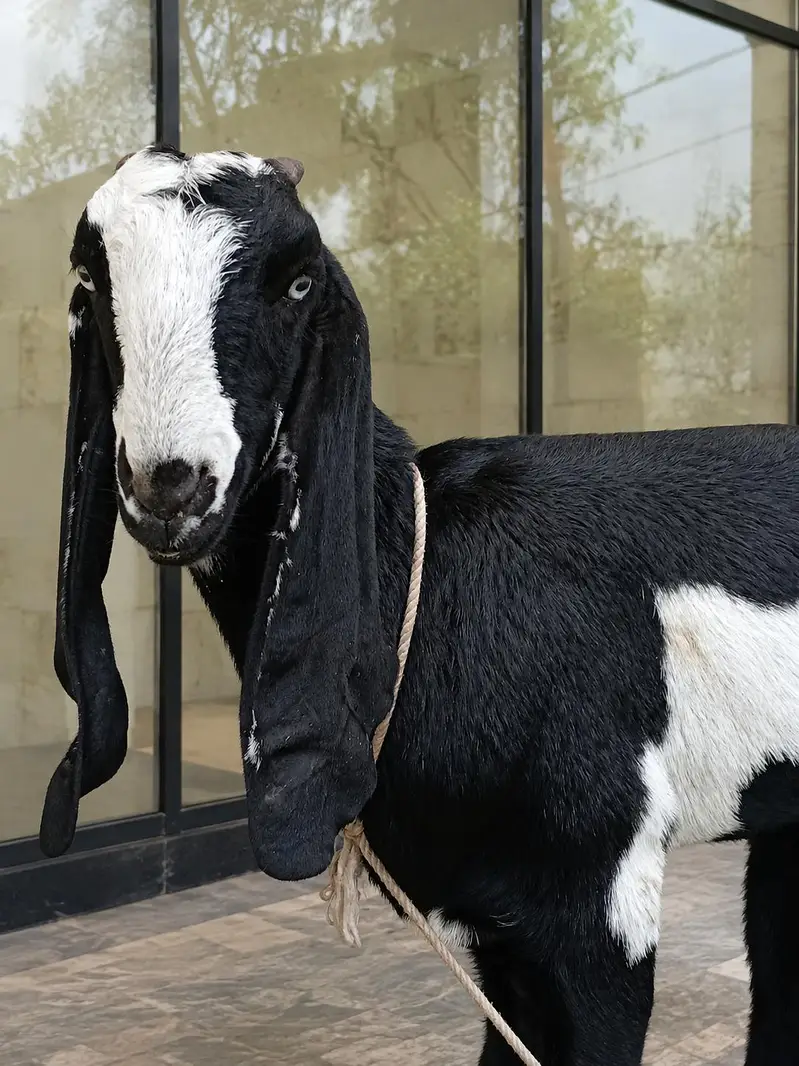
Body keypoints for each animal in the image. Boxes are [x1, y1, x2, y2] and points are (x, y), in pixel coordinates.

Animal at [40, 143, 799, 1066]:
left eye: (298, 283)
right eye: (88, 279)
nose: (169, 485)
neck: (431, 571)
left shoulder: (595, 890)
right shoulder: (496, 919)